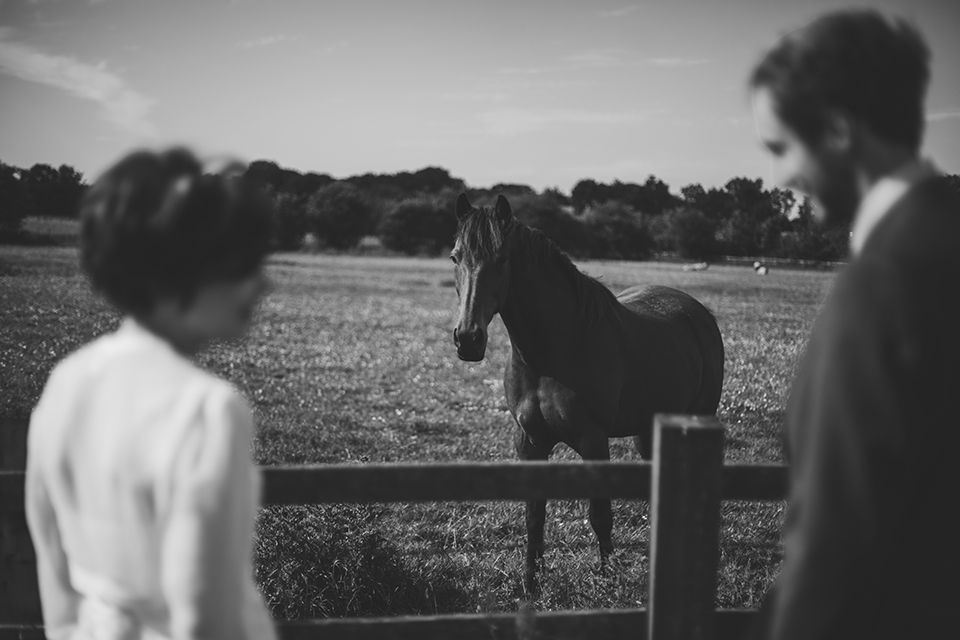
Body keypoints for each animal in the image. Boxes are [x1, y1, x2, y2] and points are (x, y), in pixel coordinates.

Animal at [450, 193, 725, 593]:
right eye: (455, 257)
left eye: (501, 259)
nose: (468, 339)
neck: (552, 352)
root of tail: (696, 311)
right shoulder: (529, 441)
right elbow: (534, 515)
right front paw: (530, 582)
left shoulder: (593, 440)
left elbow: (600, 513)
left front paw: (608, 578)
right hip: (649, 431)